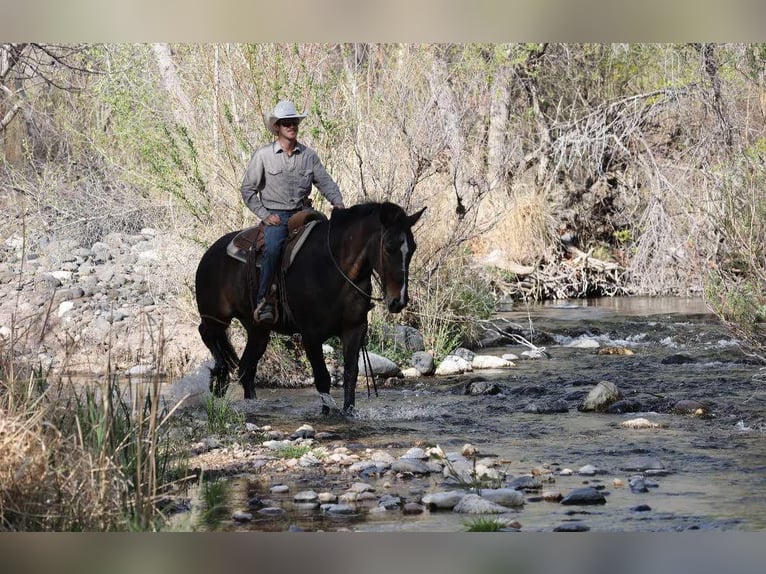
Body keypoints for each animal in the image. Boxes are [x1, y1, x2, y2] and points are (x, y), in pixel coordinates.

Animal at [194, 201, 426, 415]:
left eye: (413, 248)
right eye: (388, 246)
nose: (399, 300)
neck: (333, 268)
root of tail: (210, 253)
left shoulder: (354, 329)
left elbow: (350, 375)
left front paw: (348, 412)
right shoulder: (311, 335)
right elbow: (322, 378)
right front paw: (327, 413)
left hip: (257, 328)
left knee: (246, 368)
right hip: (216, 316)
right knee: (206, 333)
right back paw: (220, 374)